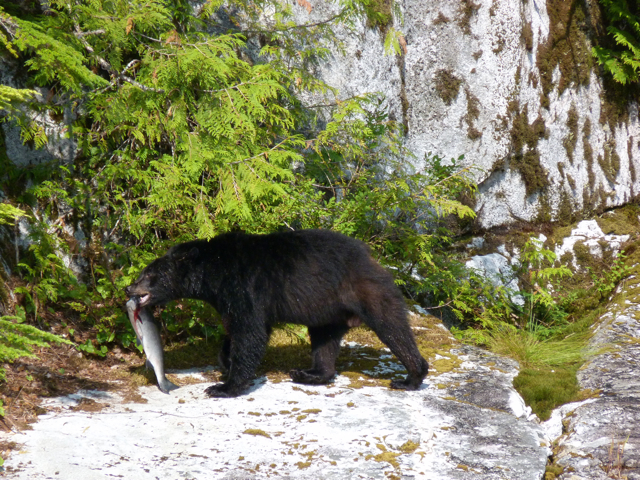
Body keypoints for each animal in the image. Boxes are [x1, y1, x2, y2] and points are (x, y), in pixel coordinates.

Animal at [125, 229, 429, 398]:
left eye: (149, 275)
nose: (129, 288)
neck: (213, 269)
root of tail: (373, 259)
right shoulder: (229, 297)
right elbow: (238, 331)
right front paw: (225, 361)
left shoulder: (243, 285)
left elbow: (250, 332)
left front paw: (223, 387)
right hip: (327, 309)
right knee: (325, 341)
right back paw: (311, 373)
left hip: (366, 290)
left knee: (392, 327)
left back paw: (411, 377)